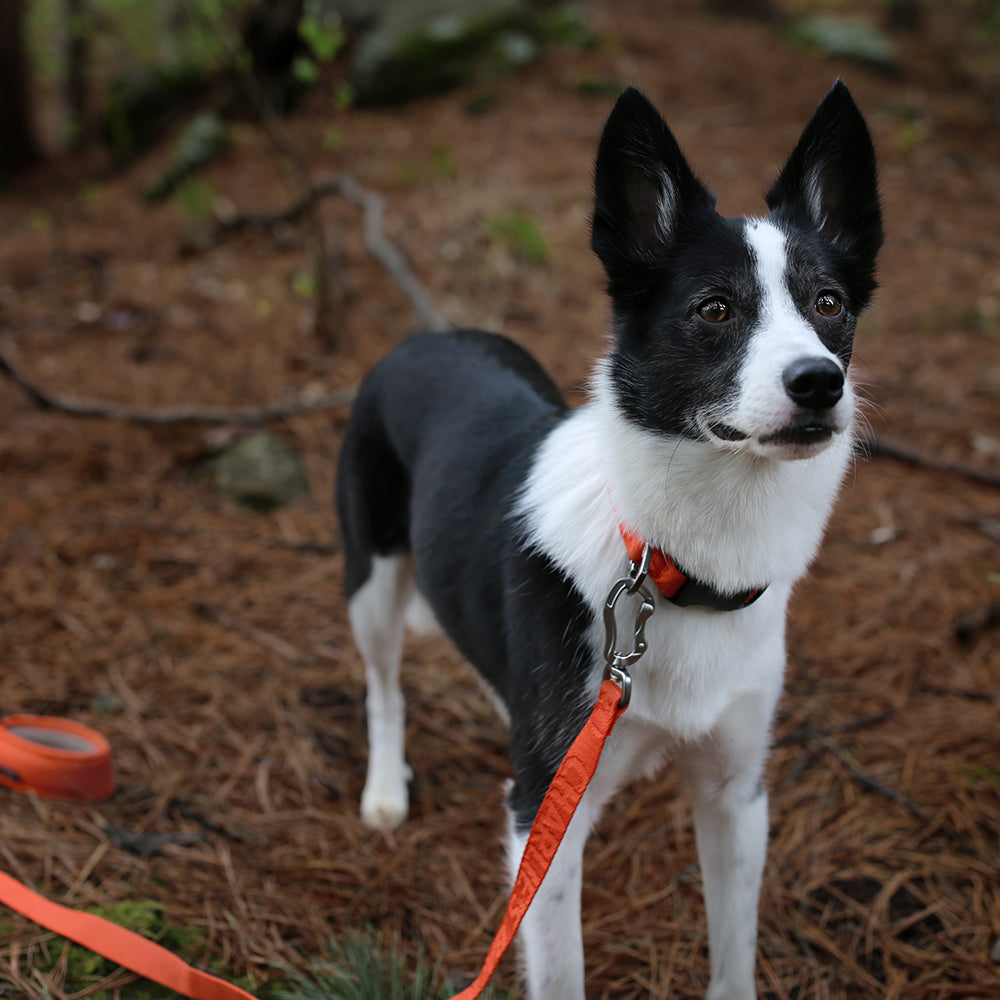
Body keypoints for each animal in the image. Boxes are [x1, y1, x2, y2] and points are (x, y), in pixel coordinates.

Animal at [338, 80, 884, 1000]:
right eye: (714, 309)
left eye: (829, 304)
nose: (820, 382)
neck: (672, 568)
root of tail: (430, 334)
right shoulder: (542, 824)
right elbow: (558, 966)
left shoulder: (737, 793)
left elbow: (733, 955)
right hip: (370, 583)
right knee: (382, 687)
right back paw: (384, 787)